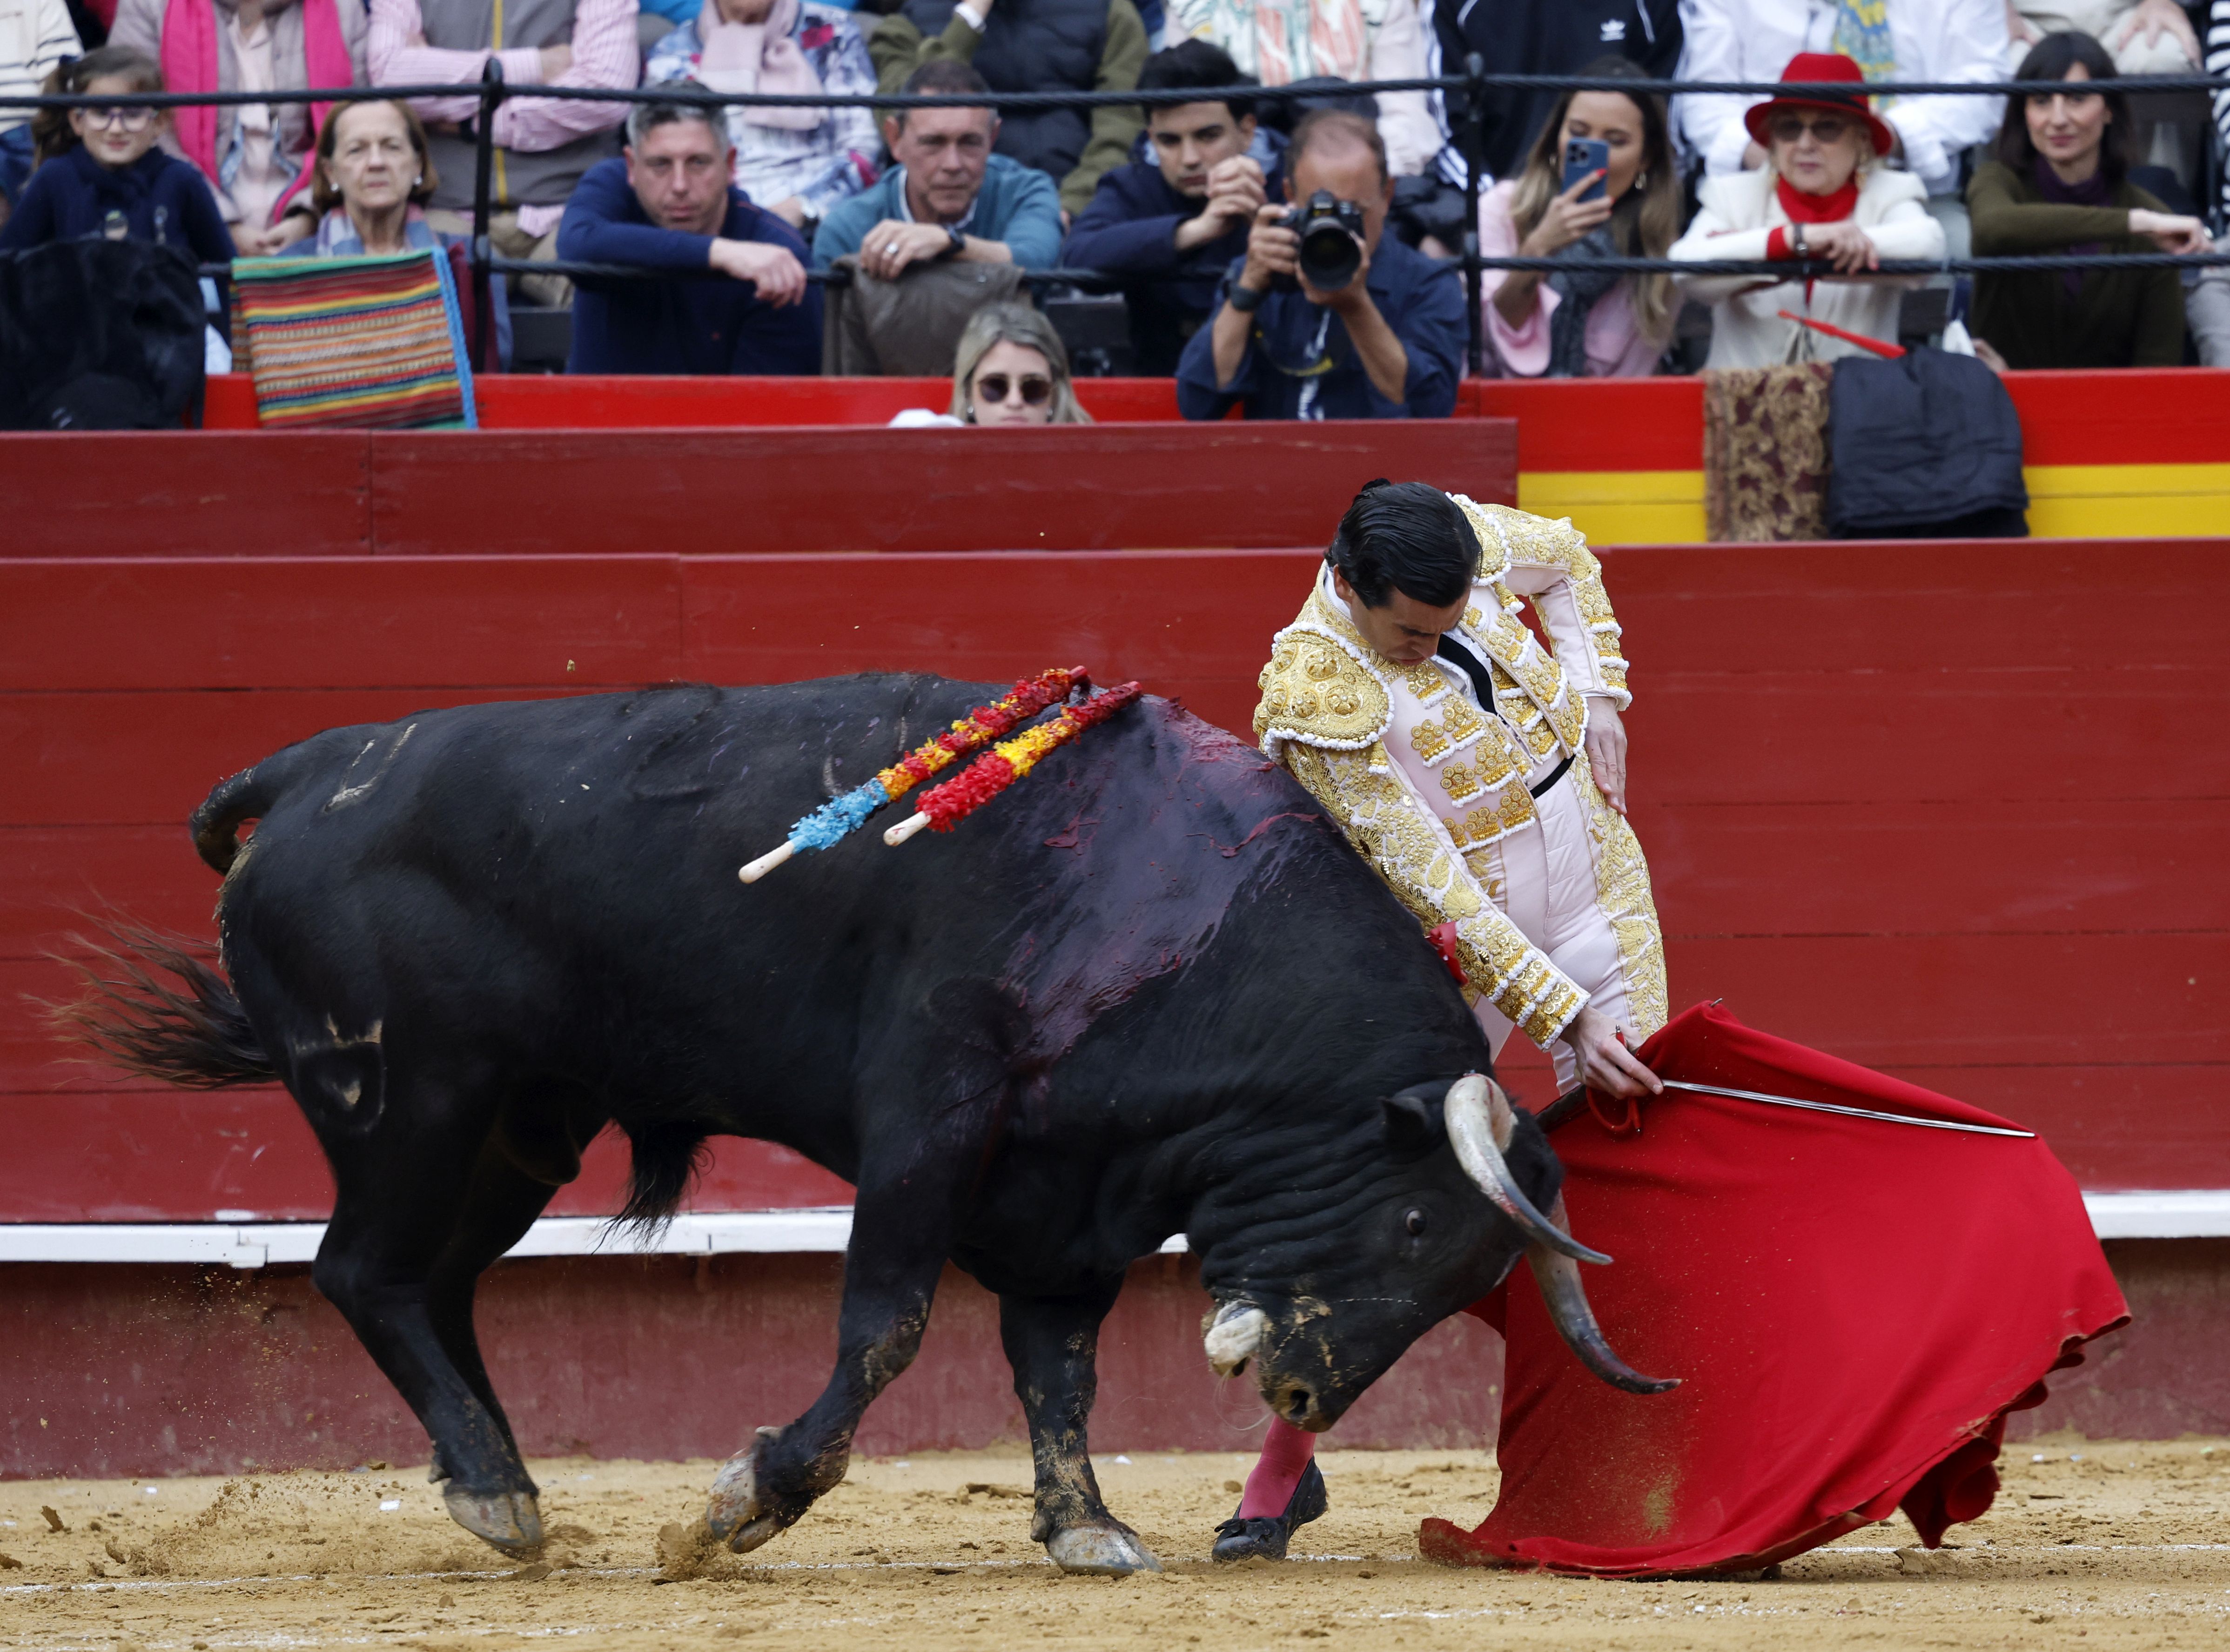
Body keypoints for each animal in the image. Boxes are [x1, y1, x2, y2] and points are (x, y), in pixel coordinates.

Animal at [78, 669, 1668, 1569]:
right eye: (1408, 1217)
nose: (1300, 1392)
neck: (1169, 904)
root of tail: (308, 769)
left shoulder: (1072, 1188)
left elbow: (1058, 1367)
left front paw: (1084, 1525)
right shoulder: (933, 1121)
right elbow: (889, 1324)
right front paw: (743, 1503)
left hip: (521, 1126)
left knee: (432, 1282)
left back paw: (502, 1483)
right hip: (412, 1101)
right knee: (365, 1269)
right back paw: (496, 1491)